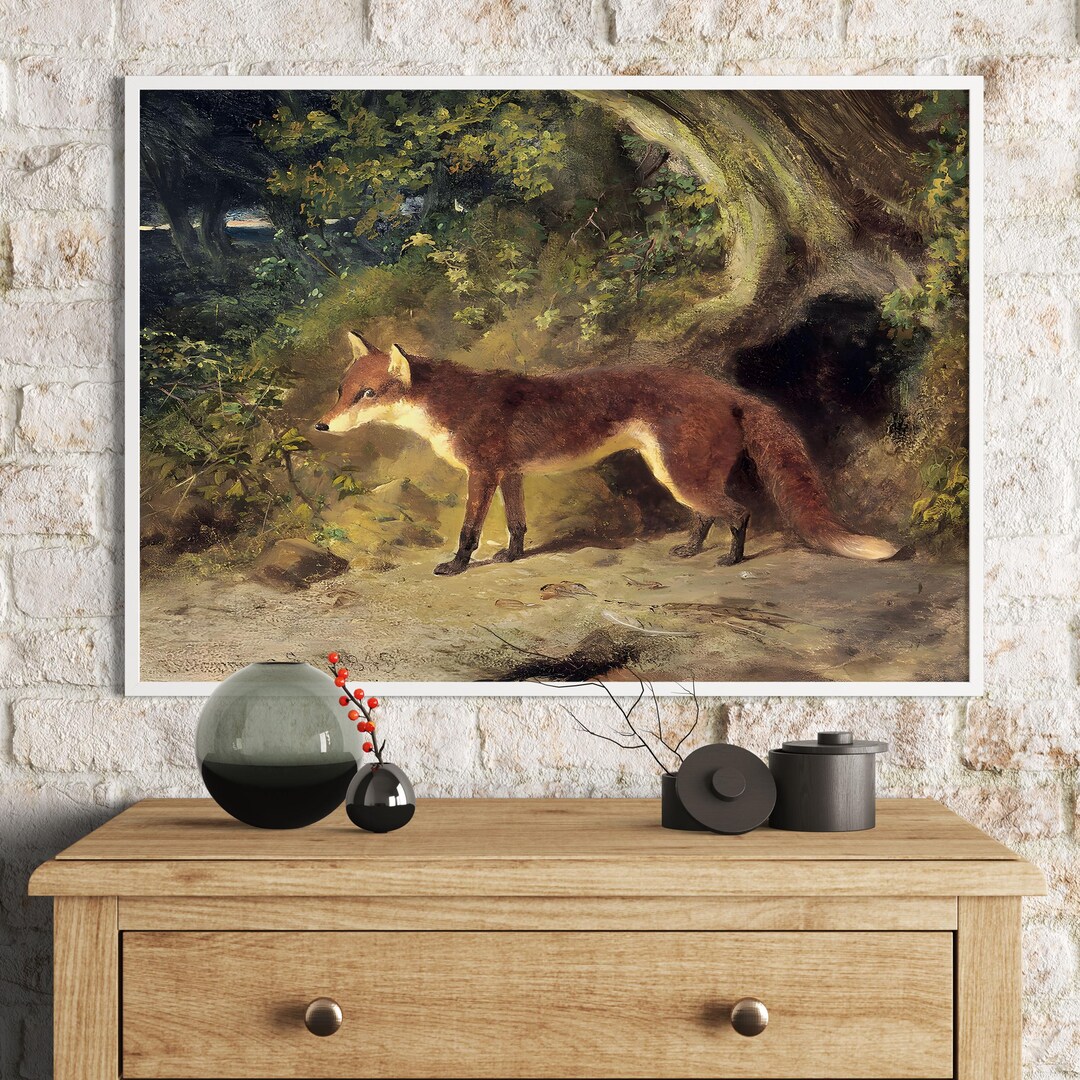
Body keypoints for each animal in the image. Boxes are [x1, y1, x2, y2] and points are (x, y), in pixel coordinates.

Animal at [313, 331, 900, 577]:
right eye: (342, 390)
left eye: (367, 394)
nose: (321, 424)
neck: (455, 406)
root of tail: (726, 390)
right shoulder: (510, 473)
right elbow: (518, 526)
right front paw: (511, 558)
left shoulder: (482, 472)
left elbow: (468, 531)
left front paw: (458, 566)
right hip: (674, 473)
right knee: (705, 515)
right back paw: (693, 549)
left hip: (680, 473)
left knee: (738, 512)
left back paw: (731, 560)